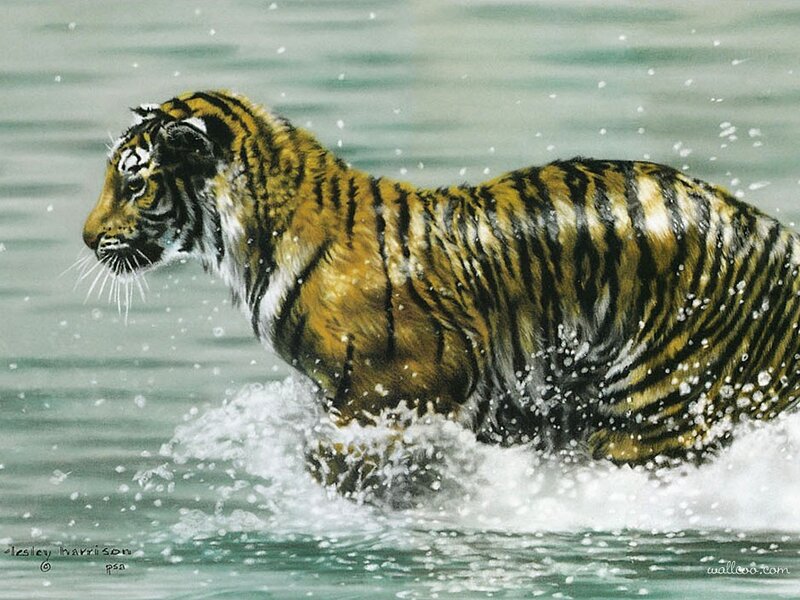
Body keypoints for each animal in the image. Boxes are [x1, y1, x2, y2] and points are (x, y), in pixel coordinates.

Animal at [83, 90, 800, 492]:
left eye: (134, 183)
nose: (87, 239)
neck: (248, 242)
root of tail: (774, 236)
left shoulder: (406, 388)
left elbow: (338, 459)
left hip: (660, 411)